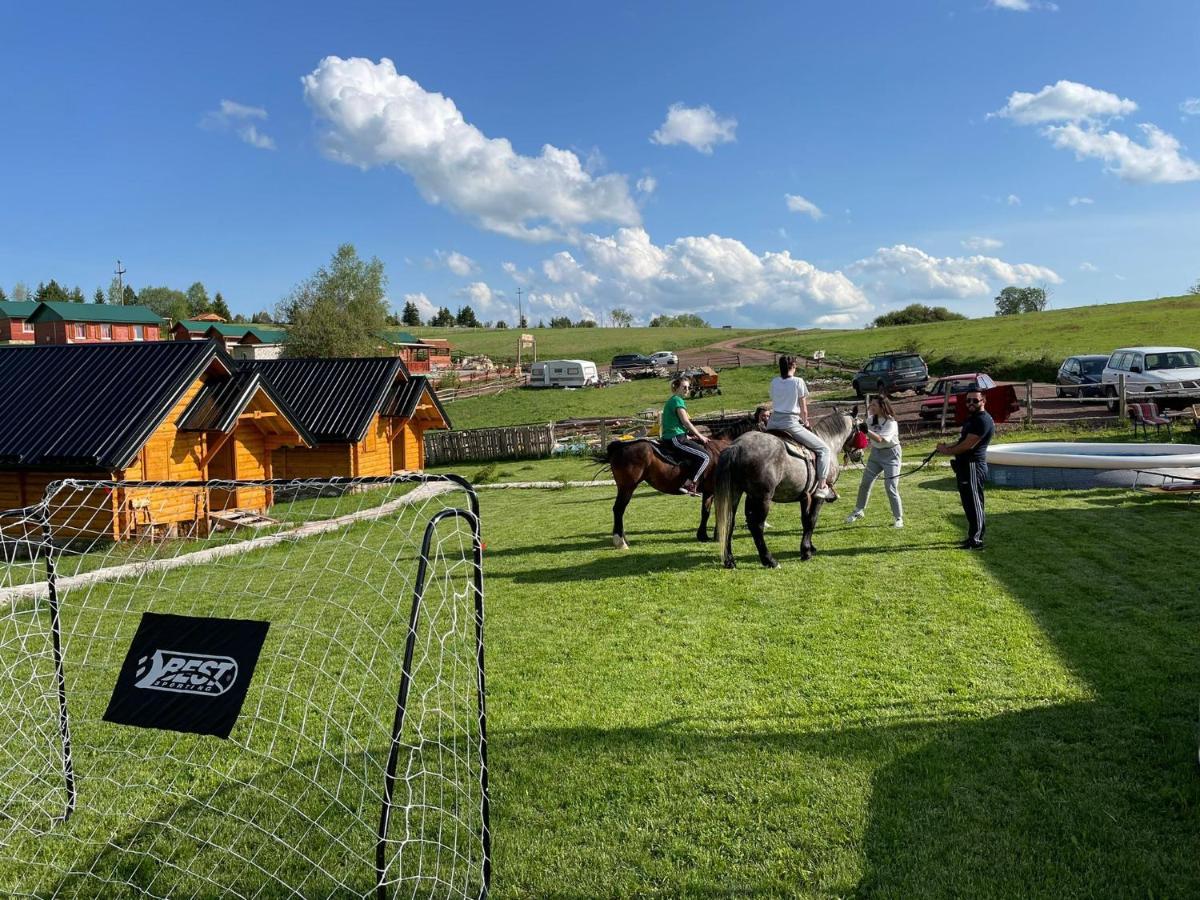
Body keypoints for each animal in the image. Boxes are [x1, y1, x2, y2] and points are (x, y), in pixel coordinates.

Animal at [595, 420, 753, 554]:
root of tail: (620, 446)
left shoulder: (709, 492)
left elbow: (705, 512)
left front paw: (703, 535)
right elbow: (718, 511)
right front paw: (718, 535)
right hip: (627, 487)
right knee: (618, 510)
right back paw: (620, 542)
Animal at [710, 410, 864, 571]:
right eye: (861, 427)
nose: (860, 454)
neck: (827, 441)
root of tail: (737, 447)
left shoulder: (805, 496)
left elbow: (805, 520)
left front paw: (809, 547)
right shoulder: (817, 496)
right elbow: (812, 520)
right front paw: (806, 552)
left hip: (737, 494)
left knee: (729, 522)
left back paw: (729, 560)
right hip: (763, 498)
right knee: (757, 526)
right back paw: (769, 560)